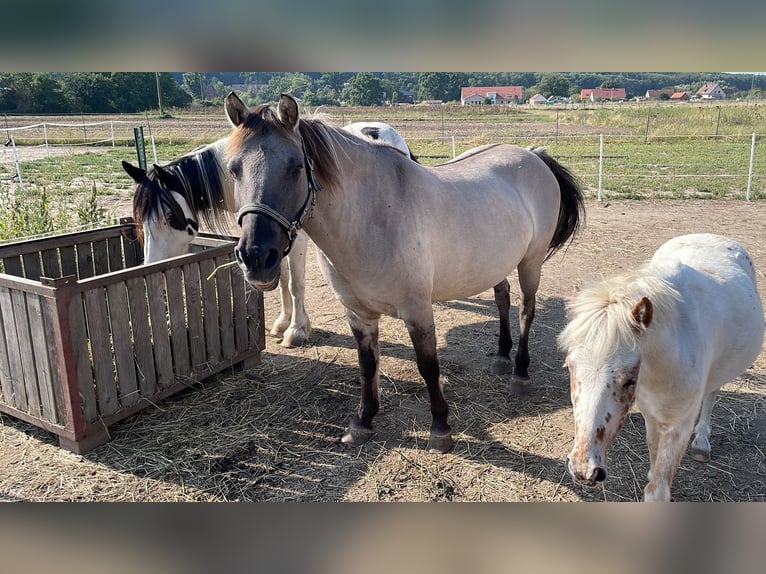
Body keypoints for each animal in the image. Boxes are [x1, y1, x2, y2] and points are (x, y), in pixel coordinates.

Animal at [122, 121, 416, 348]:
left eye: (170, 216)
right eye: (140, 222)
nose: (151, 269)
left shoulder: (295, 240)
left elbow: (296, 284)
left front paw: (296, 331)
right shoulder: (272, 244)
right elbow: (283, 279)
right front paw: (283, 323)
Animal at [225, 93, 584, 454]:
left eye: (296, 166)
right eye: (232, 169)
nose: (256, 256)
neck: (371, 217)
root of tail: (533, 155)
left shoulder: (418, 312)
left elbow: (428, 366)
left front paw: (440, 428)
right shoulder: (358, 314)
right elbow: (367, 365)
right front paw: (363, 422)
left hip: (531, 261)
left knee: (526, 309)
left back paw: (520, 373)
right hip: (495, 262)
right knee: (502, 298)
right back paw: (500, 356)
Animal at [560, 234, 766, 504]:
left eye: (629, 379)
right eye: (570, 366)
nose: (584, 470)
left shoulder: (678, 426)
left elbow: (657, 491)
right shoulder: (651, 413)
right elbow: (653, 450)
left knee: (711, 394)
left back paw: (702, 442)